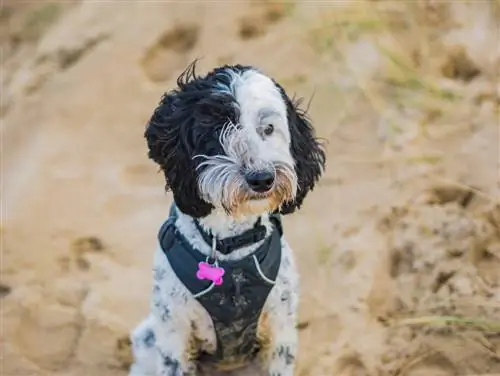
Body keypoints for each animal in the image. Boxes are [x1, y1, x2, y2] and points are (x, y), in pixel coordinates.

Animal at [130, 62, 324, 376]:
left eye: (268, 128)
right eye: (216, 129)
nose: (262, 179)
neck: (231, 244)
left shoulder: (280, 330)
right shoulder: (174, 334)